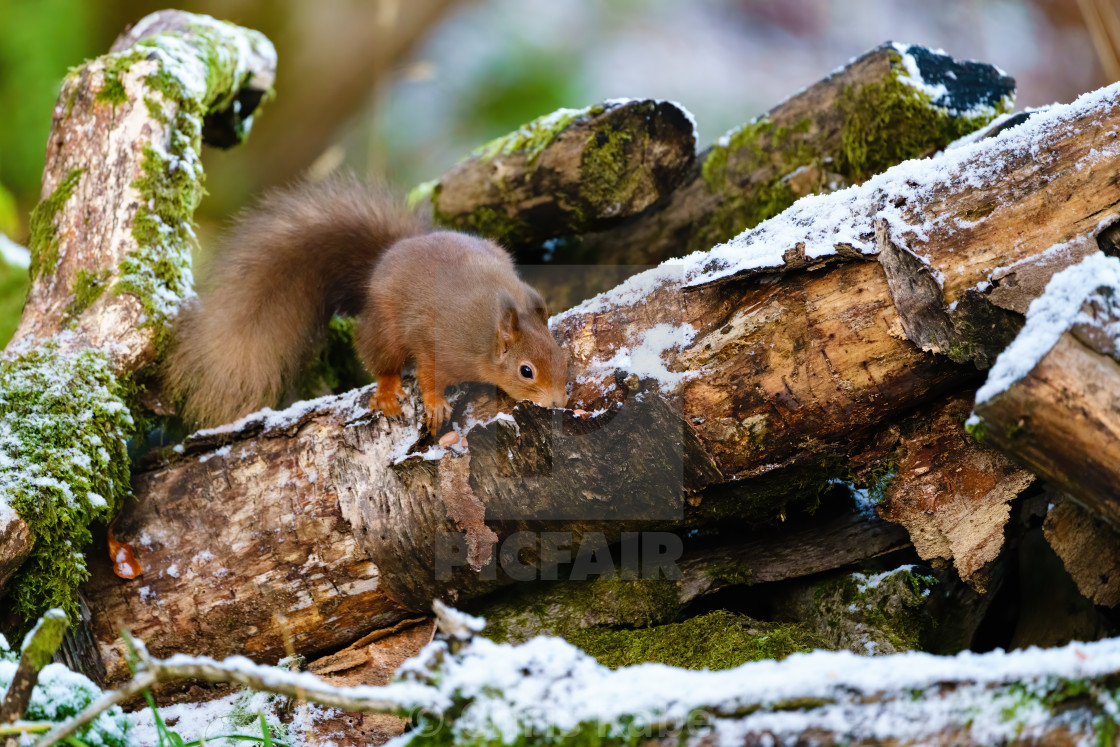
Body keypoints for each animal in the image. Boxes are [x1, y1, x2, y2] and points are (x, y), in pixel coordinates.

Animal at [165, 175, 568, 432]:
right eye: (526, 371)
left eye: (562, 358)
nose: (558, 403)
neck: (486, 338)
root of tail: (384, 260)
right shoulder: (435, 339)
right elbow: (429, 373)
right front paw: (435, 403)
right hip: (385, 328)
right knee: (382, 359)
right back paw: (388, 391)